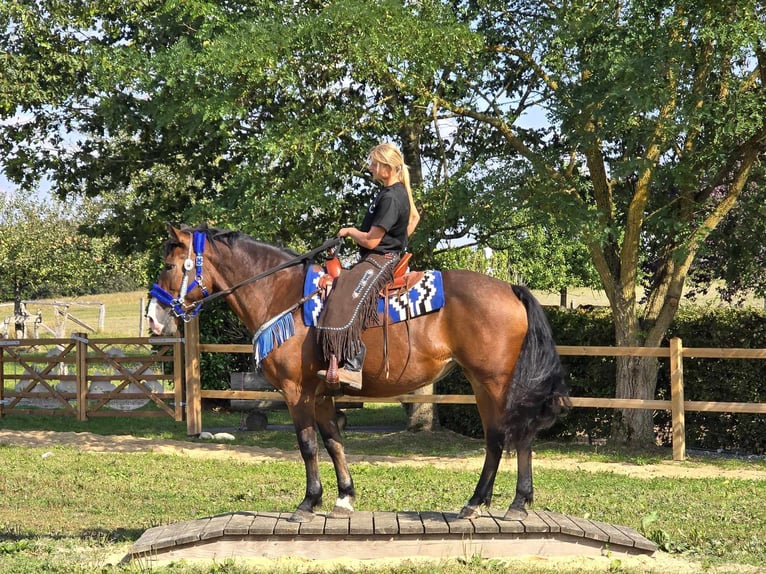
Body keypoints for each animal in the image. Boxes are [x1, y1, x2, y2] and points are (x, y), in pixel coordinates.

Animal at [146, 225, 568, 528]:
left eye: (168, 266)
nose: (153, 318)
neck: (282, 295)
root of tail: (510, 288)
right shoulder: (321, 393)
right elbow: (333, 442)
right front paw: (343, 497)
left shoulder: (296, 391)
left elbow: (308, 445)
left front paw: (308, 502)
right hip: (482, 383)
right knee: (498, 439)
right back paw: (483, 502)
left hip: (496, 381)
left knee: (515, 436)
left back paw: (512, 503)